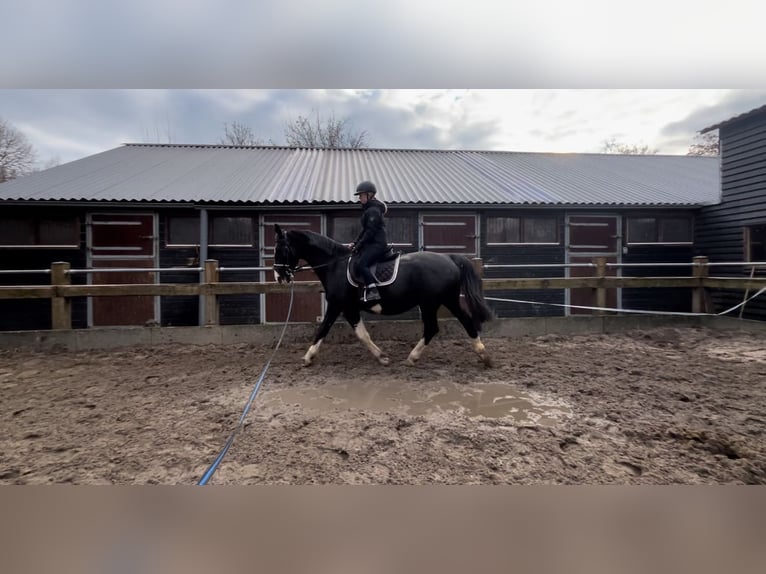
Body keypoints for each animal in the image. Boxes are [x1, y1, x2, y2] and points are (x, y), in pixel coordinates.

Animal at [272, 225, 496, 368]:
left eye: (281, 249)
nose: (279, 277)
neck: (335, 264)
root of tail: (449, 258)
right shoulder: (348, 308)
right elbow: (360, 333)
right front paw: (382, 357)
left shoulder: (339, 305)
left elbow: (325, 329)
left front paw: (307, 358)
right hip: (444, 301)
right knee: (461, 323)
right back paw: (483, 355)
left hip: (433, 302)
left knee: (436, 327)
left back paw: (415, 358)